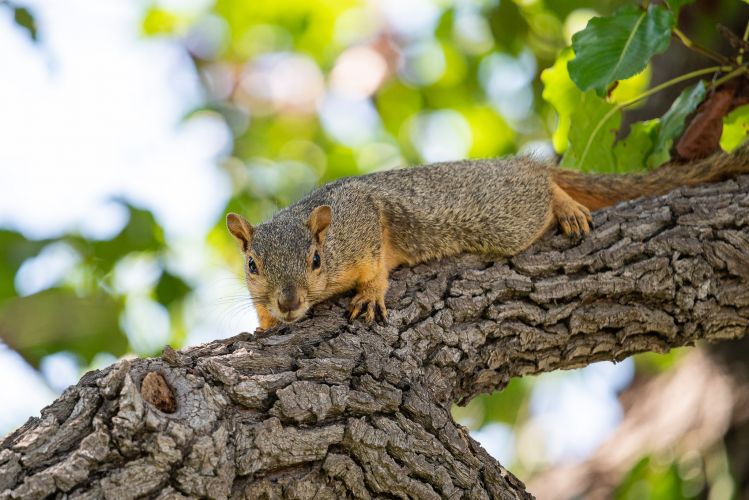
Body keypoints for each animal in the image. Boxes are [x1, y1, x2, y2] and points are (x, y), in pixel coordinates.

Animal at [226, 146, 748, 330]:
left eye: (315, 260)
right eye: (251, 266)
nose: (289, 303)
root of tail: (513, 164)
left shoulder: (365, 224)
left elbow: (375, 268)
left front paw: (370, 295)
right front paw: (265, 323)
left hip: (506, 216)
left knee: (542, 185)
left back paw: (565, 204)